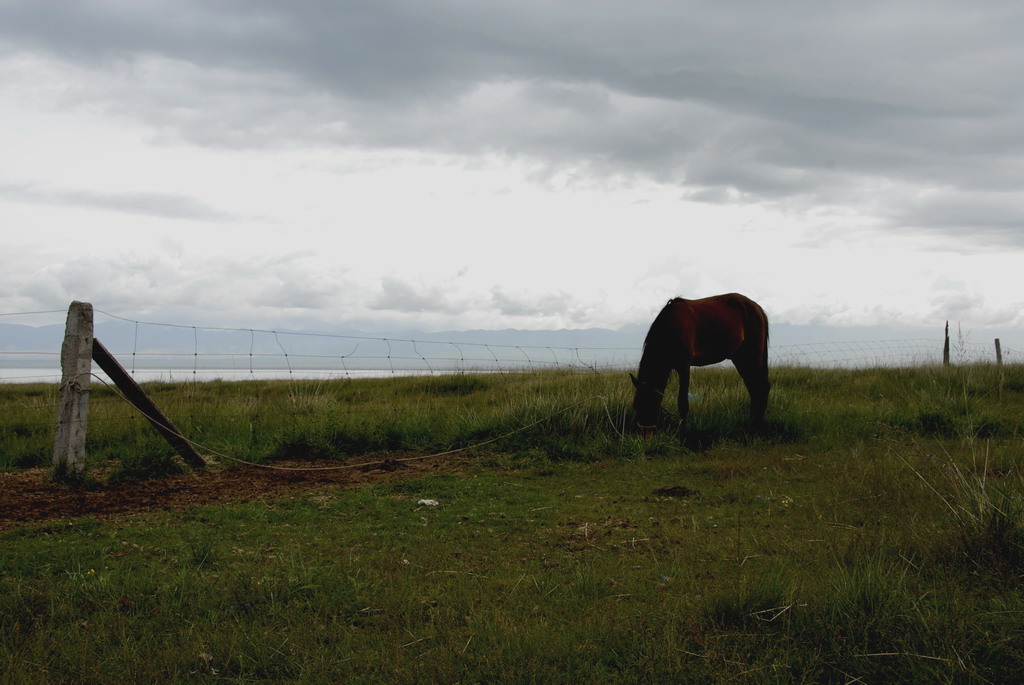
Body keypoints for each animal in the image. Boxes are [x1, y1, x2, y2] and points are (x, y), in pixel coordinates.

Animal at [630, 292, 770, 432]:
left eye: (650, 404)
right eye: (636, 405)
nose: (643, 432)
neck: (670, 328)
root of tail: (758, 309)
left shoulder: (684, 366)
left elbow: (683, 402)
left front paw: (683, 431)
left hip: (751, 356)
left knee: (760, 387)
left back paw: (755, 425)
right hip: (740, 358)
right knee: (754, 387)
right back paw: (753, 423)